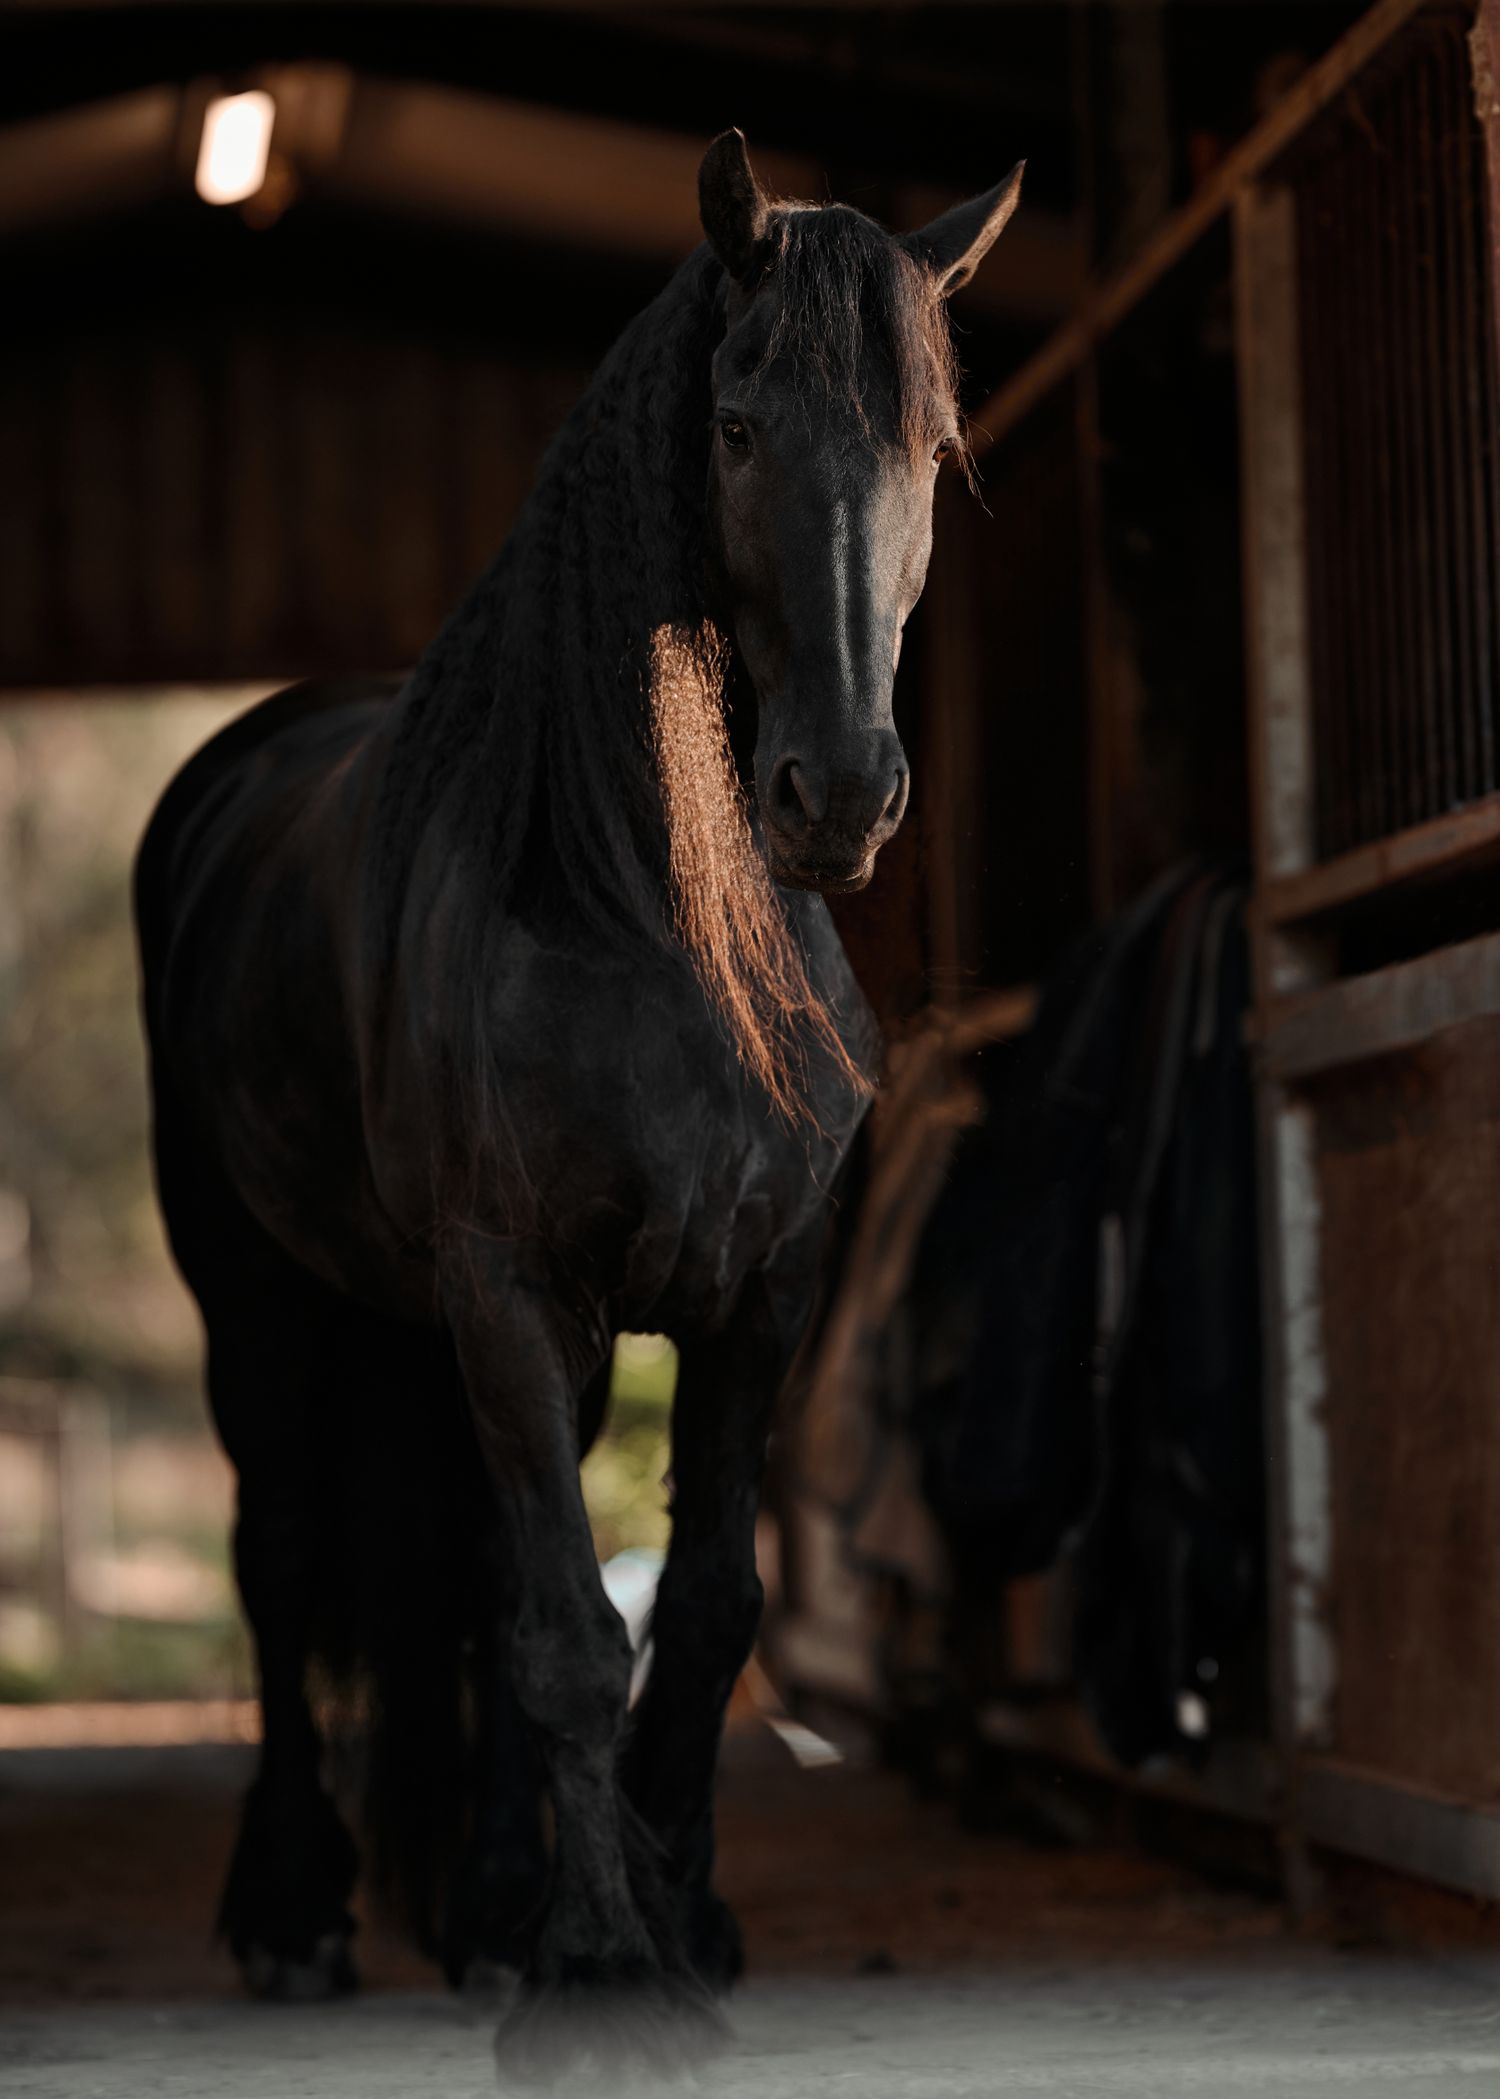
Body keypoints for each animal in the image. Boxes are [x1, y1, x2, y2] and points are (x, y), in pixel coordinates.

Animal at [134, 131, 1023, 2077]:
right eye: (739, 424)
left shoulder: (754, 1296)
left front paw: (674, 1920)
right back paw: (301, 1915)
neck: (641, 911)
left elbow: (691, 1607)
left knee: (468, 1572)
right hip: (267, 1304)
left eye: (931, 447)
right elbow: (561, 1633)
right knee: (282, 1561)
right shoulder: (511, 1287)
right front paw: (608, 1979)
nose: (838, 794)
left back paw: (483, 1910)